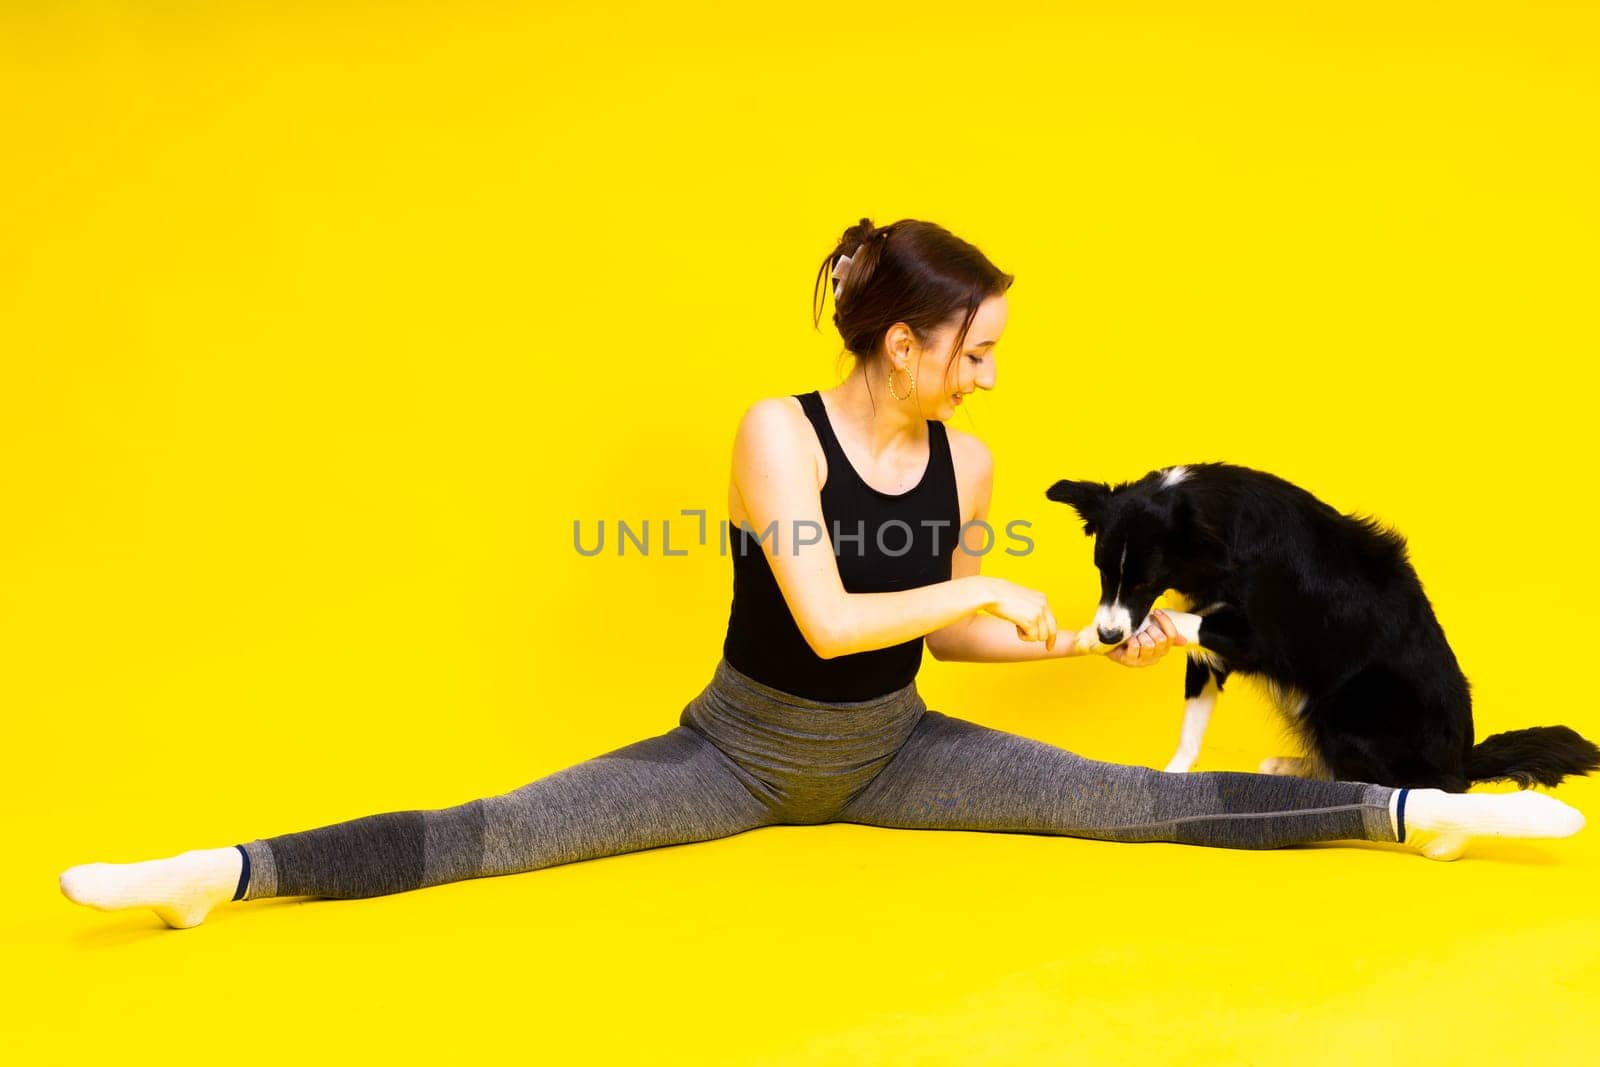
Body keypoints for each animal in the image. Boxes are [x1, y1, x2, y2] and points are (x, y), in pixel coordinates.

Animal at [1043, 460, 1600, 793]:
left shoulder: (1258, 639)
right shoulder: (1211, 648)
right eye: (1102, 571)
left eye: (1145, 579)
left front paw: (1122, 634)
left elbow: (1180, 621)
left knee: (1385, 783)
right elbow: (1192, 722)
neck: (1214, 522)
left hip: (1344, 709)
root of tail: (1462, 761)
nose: (1110, 635)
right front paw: (1176, 773)